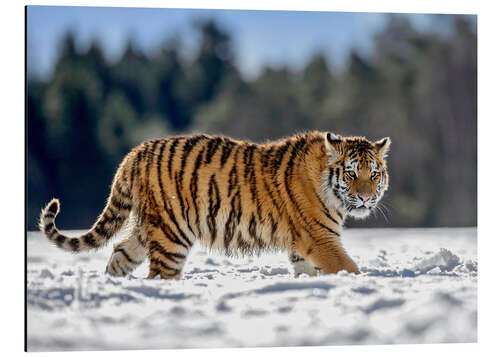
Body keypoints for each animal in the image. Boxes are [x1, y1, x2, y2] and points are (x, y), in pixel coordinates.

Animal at [39, 131, 390, 278]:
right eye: (351, 173)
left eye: (374, 174)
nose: (365, 197)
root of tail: (134, 154)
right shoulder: (319, 238)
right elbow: (348, 266)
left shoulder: (301, 246)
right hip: (171, 235)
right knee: (159, 273)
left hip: (146, 229)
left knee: (119, 253)